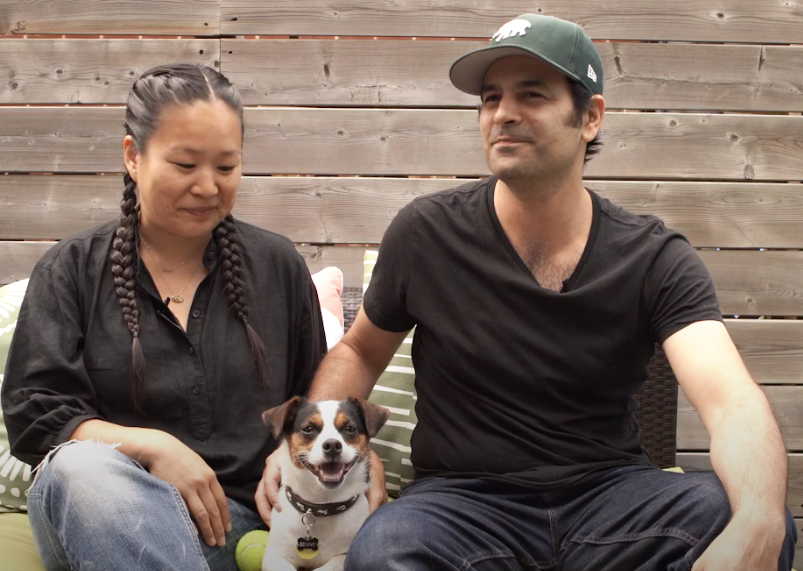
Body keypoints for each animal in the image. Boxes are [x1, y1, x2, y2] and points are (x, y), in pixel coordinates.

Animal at [260, 396, 390, 571]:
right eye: (308, 428)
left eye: (350, 428)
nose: (333, 445)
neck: (321, 506)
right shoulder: (275, 556)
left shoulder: (342, 556)